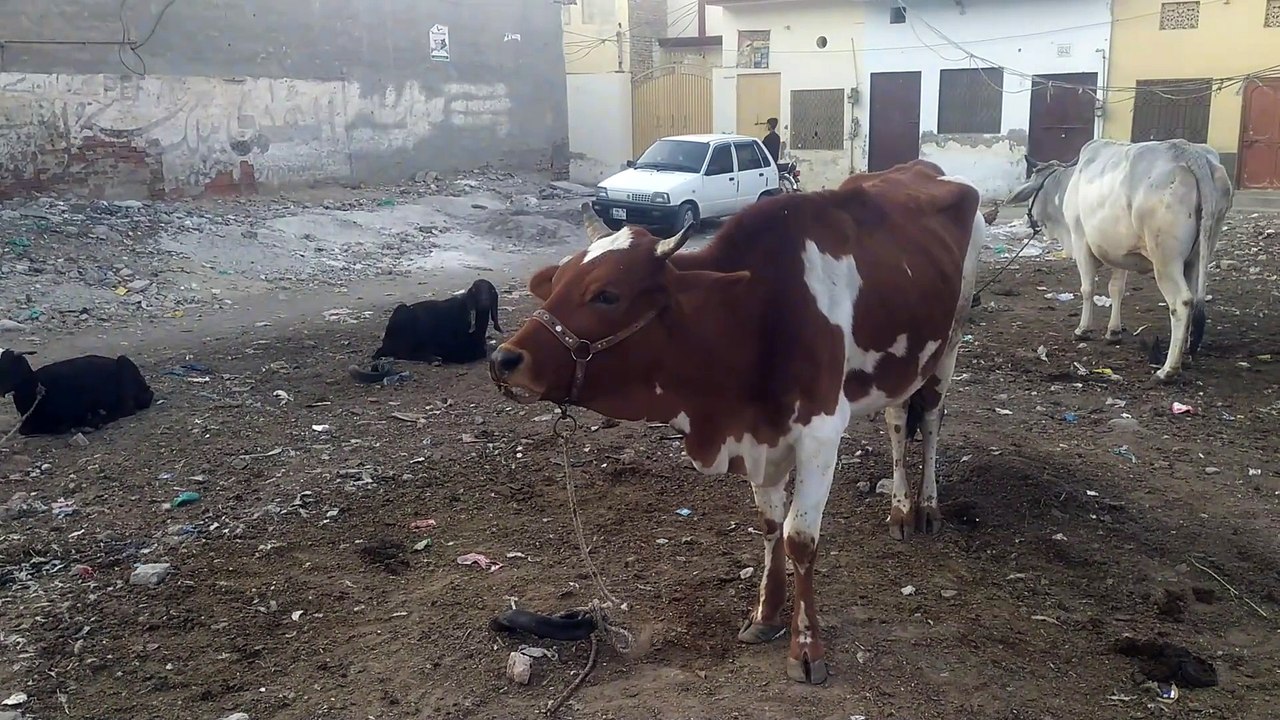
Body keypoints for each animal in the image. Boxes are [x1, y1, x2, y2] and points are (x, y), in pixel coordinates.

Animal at [488, 161, 986, 685]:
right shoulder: (758, 436)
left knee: (931, 420)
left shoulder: (821, 433)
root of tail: (926, 168)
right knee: (896, 422)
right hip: (906, 366)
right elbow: (770, 525)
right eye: (559, 280)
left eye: (607, 295)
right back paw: (899, 509)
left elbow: (799, 538)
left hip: (949, 345)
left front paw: (805, 646)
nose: (503, 360)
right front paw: (766, 614)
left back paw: (927, 507)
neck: (759, 310)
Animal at [1007, 138, 1233, 382]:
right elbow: (1116, 289)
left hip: (1166, 259)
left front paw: (1083, 329)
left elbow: (1088, 288)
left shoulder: (1080, 240)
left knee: (1182, 302)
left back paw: (1167, 370)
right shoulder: (1120, 252)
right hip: (1199, 255)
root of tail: (1189, 152)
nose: (1030, 220)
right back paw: (1186, 354)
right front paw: (1113, 332)